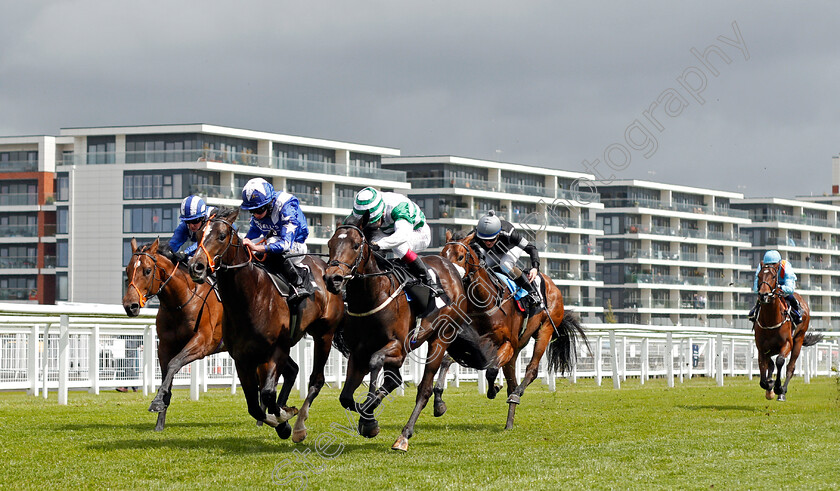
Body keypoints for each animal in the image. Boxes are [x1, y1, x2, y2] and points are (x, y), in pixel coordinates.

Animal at [121, 240, 225, 432]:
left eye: (147, 270)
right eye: (128, 269)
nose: (130, 306)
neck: (181, 301)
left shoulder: (201, 342)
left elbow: (174, 363)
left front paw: (156, 402)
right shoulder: (164, 346)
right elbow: (166, 375)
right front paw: (159, 421)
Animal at [189, 208, 344, 442]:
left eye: (222, 236)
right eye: (197, 236)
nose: (196, 267)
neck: (251, 298)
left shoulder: (276, 350)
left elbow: (268, 393)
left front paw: (285, 418)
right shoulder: (242, 358)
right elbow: (254, 406)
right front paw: (280, 421)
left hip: (324, 334)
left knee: (316, 379)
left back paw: (299, 426)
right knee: (293, 371)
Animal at [324, 215, 476, 454]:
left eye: (356, 245)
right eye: (330, 244)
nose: (333, 279)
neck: (373, 295)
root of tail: (451, 269)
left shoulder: (397, 347)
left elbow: (376, 362)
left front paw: (369, 419)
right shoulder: (358, 353)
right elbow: (346, 397)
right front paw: (368, 418)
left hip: (441, 338)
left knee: (424, 389)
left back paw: (404, 436)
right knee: (394, 380)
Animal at [436, 231, 588, 430]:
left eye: (460, 257)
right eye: (441, 256)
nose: (446, 280)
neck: (485, 302)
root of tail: (552, 284)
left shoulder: (507, 343)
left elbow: (491, 370)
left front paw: (493, 389)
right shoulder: (474, 345)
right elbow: (446, 361)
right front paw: (438, 402)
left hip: (545, 330)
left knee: (531, 369)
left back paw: (516, 395)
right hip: (518, 346)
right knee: (511, 380)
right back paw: (509, 419)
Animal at [752, 264, 824, 402]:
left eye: (773, 276)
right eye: (759, 275)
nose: (763, 295)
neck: (770, 320)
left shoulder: (787, 344)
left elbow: (780, 361)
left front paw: (777, 387)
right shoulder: (761, 348)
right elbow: (763, 377)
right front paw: (769, 386)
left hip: (798, 340)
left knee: (790, 367)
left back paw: (782, 393)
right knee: (771, 364)